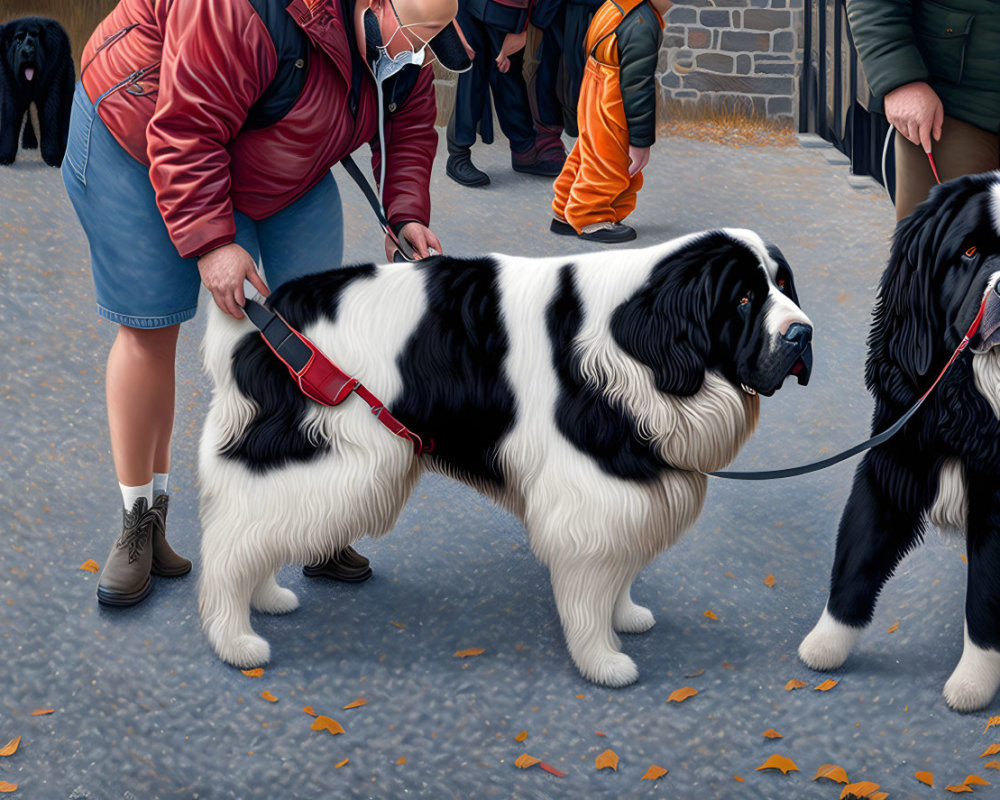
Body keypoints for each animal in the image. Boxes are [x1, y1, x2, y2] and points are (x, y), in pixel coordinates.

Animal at [0, 17, 74, 167]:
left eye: (35, 38)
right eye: (18, 40)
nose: (27, 52)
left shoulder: (54, 81)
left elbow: (51, 117)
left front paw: (52, 157)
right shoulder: (10, 86)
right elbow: (9, 116)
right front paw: (5, 156)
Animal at [197, 231, 812, 688]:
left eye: (784, 285)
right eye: (743, 299)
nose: (802, 334)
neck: (638, 346)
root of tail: (263, 317)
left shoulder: (627, 488)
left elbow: (619, 569)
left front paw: (626, 617)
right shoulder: (590, 491)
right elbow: (591, 584)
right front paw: (602, 660)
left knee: (254, 535)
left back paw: (267, 598)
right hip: (323, 459)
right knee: (229, 545)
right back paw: (235, 642)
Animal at [800, 170, 1000, 712]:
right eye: (970, 252)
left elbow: (984, 596)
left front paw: (972, 684)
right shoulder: (893, 460)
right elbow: (857, 556)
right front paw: (826, 644)